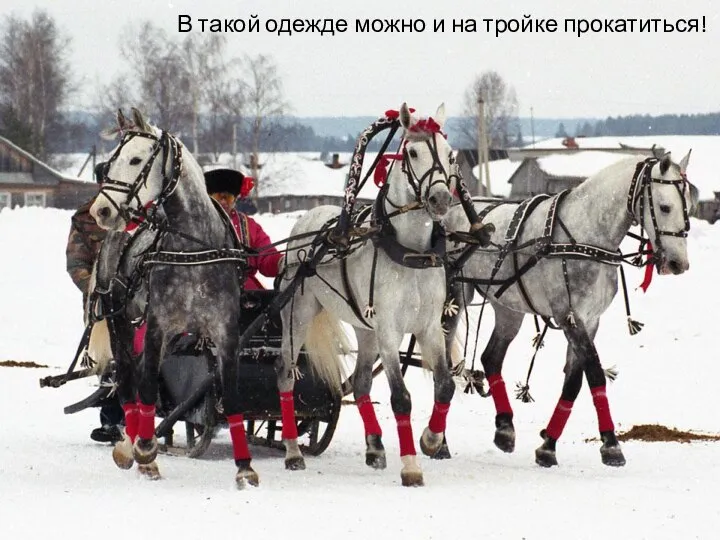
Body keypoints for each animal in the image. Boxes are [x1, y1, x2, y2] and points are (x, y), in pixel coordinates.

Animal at [89, 109, 258, 490]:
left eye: (136, 159)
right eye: (109, 163)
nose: (101, 211)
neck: (193, 247)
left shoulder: (226, 332)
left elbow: (233, 396)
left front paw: (244, 468)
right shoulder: (157, 327)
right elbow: (148, 388)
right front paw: (144, 450)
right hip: (121, 323)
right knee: (129, 380)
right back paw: (132, 446)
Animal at [276, 104, 456, 486]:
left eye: (450, 155)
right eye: (412, 153)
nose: (440, 199)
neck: (410, 253)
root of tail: (308, 220)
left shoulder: (429, 327)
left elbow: (445, 385)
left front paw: (431, 440)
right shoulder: (389, 332)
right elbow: (401, 398)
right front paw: (411, 466)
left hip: (364, 327)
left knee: (359, 384)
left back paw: (374, 448)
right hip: (298, 315)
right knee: (284, 373)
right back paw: (293, 452)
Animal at [444, 151, 696, 468]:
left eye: (688, 207)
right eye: (664, 207)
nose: (678, 264)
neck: (584, 235)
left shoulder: (589, 319)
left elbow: (574, 381)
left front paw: (548, 445)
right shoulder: (569, 317)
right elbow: (595, 374)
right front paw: (611, 444)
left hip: (508, 306)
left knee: (491, 357)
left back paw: (504, 428)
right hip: (453, 298)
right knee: (440, 356)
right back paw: (438, 438)